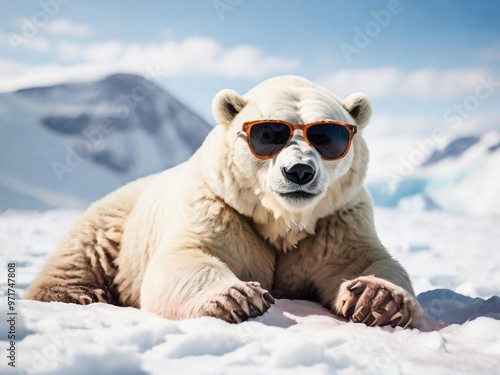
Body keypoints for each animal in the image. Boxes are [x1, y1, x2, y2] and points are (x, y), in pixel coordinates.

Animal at [25, 75, 420, 328]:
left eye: (326, 136)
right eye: (269, 134)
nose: (299, 171)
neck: (283, 220)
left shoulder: (336, 220)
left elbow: (359, 261)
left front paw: (377, 300)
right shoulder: (219, 207)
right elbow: (186, 257)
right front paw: (238, 298)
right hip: (117, 219)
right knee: (84, 249)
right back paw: (73, 294)